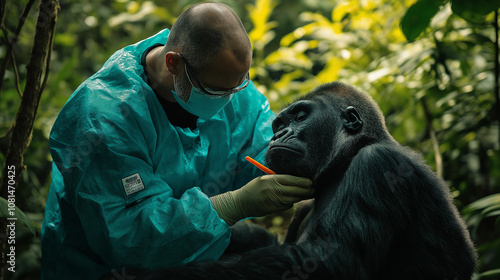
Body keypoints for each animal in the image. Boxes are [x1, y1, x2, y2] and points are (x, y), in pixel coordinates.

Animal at [101, 81, 476, 280]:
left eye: (300, 116)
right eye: (279, 123)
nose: (279, 134)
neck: (344, 163)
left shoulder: (378, 167)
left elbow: (327, 262)